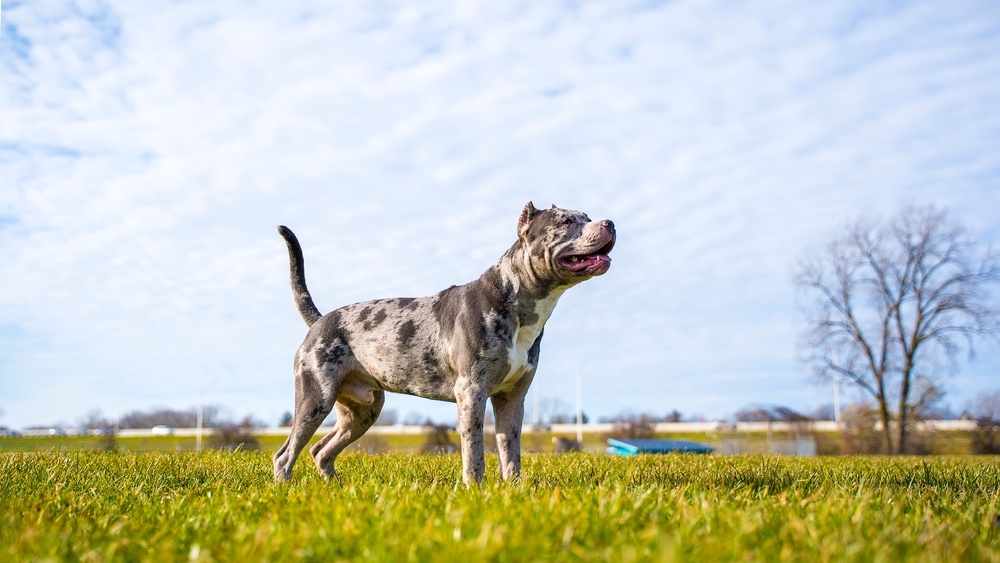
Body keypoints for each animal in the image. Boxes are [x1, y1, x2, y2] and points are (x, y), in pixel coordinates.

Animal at [276, 203, 616, 484]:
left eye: (586, 216)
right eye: (567, 221)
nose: (610, 222)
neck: (516, 300)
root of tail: (320, 321)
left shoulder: (512, 398)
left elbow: (511, 452)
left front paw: (514, 489)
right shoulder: (472, 392)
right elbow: (474, 450)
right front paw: (474, 489)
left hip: (363, 411)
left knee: (321, 450)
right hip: (315, 398)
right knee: (285, 454)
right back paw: (286, 489)